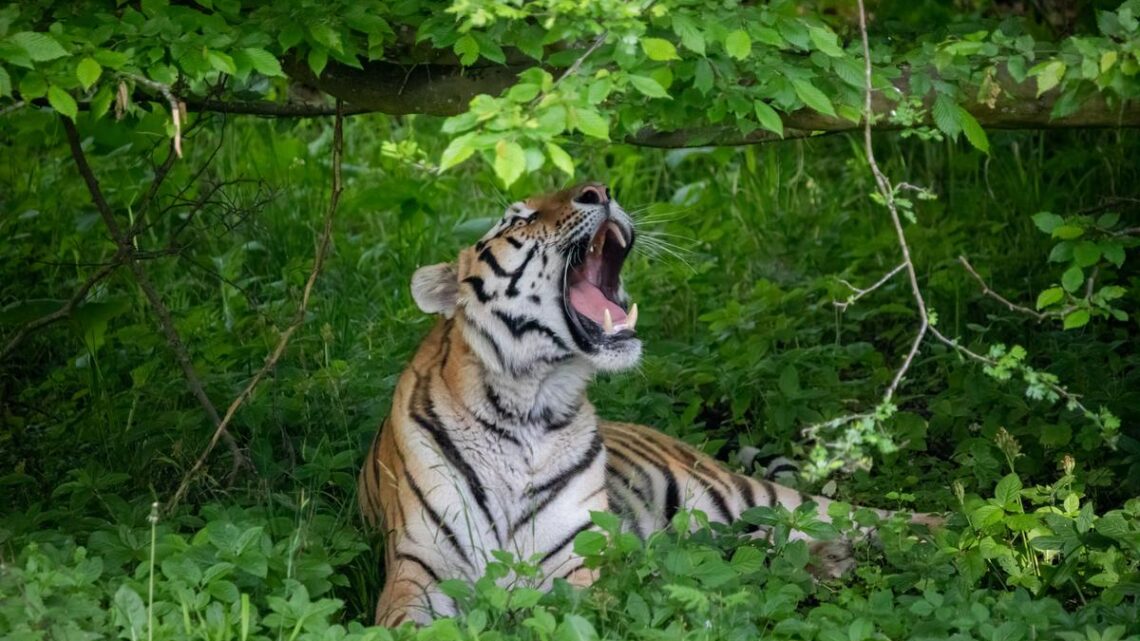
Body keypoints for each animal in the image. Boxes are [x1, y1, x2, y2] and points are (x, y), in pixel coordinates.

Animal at [355, 180, 934, 625]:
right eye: (517, 218)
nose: (599, 189)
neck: (529, 405)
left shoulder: (579, 564)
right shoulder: (417, 573)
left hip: (756, 496)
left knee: (886, 519)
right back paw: (827, 562)